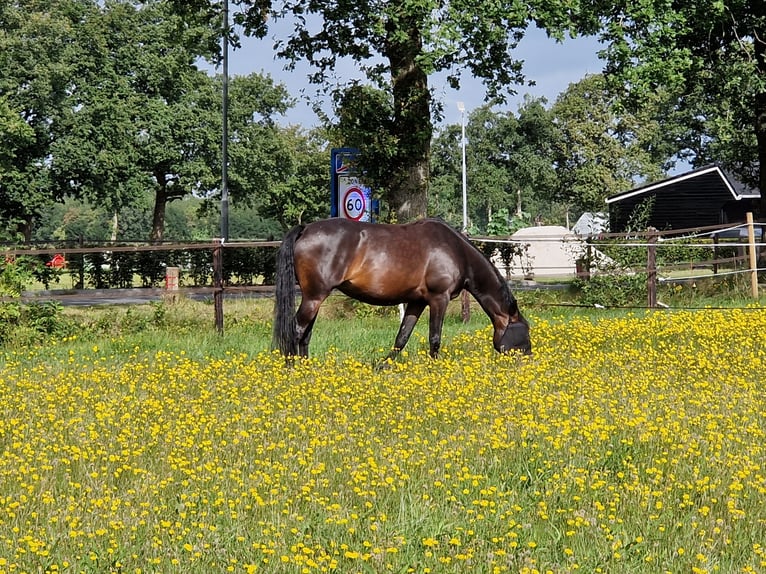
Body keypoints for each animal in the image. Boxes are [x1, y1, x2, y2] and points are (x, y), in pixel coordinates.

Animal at [272, 218, 532, 362]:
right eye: (525, 331)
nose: (528, 359)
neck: (455, 250)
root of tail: (305, 229)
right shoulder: (439, 299)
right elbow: (434, 338)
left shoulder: (417, 302)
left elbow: (402, 337)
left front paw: (383, 365)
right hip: (314, 297)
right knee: (296, 331)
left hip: (314, 298)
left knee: (305, 335)